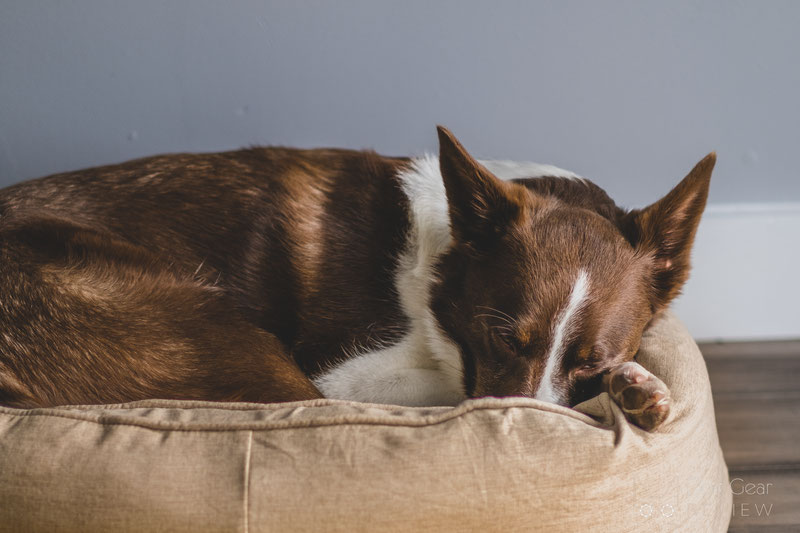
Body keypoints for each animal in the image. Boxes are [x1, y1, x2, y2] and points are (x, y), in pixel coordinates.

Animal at [0, 127, 712, 430]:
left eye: (594, 361)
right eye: (501, 338)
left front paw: (635, 386)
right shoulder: (342, 376)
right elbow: (457, 393)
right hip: (227, 338)